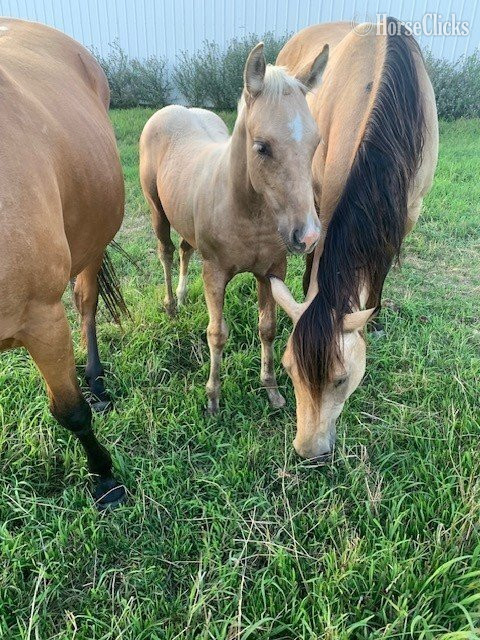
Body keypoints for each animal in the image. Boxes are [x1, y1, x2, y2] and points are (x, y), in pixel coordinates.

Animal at [0, 19, 127, 508]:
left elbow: (70, 411)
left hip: (93, 241)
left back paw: (96, 382)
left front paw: (105, 477)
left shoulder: (40, 318)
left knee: (86, 303)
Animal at [140, 43, 329, 414]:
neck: (248, 212)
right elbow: (217, 333)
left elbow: (267, 327)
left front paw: (271, 388)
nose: (309, 236)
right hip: (157, 211)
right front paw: (212, 396)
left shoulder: (272, 270)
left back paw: (181, 296)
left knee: (184, 249)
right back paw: (171, 305)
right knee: (166, 252)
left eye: (315, 143)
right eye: (261, 147)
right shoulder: (214, 272)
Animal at [270, 18, 439, 459]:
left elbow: (380, 270)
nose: (308, 451)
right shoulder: (321, 195)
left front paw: (374, 320)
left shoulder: (408, 213)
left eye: (341, 379)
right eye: (288, 369)